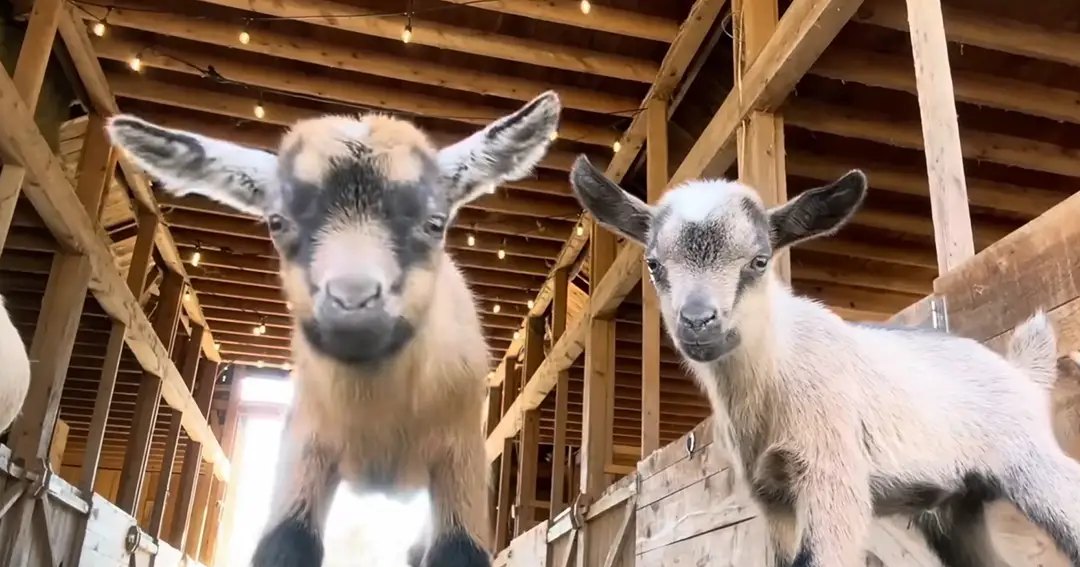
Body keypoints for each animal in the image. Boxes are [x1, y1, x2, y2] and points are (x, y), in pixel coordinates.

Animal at [106, 91, 562, 567]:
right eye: (277, 221)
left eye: (435, 222)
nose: (352, 301)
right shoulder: (305, 445)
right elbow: (285, 545)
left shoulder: (462, 457)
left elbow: (458, 551)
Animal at [569, 155, 1080, 567]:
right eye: (653, 264)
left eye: (759, 260)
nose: (698, 322)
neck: (775, 369)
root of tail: (1022, 373)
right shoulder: (772, 497)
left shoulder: (833, 473)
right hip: (955, 507)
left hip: (1029, 460)